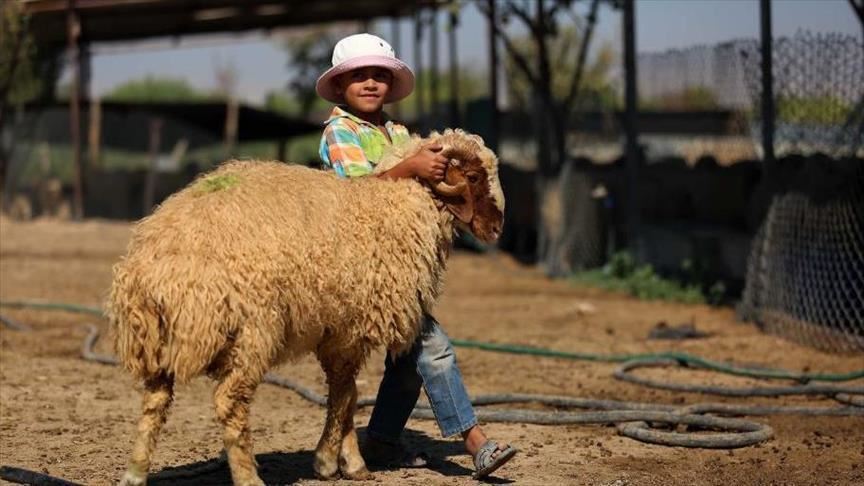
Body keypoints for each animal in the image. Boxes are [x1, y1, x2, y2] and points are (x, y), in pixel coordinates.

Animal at [109, 127, 502, 484]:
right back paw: (249, 478)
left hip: (159, 342)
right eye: (472, 176)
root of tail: (156, 269)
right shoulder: (351, 329)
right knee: (229, 402)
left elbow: (347, 395)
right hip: (252, 332)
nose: (497, 229)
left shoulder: (337, 330)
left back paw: (135, 473)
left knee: (155, 401)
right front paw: (331, 462)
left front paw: (348, 462)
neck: (391, 204)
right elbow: (344, 396)